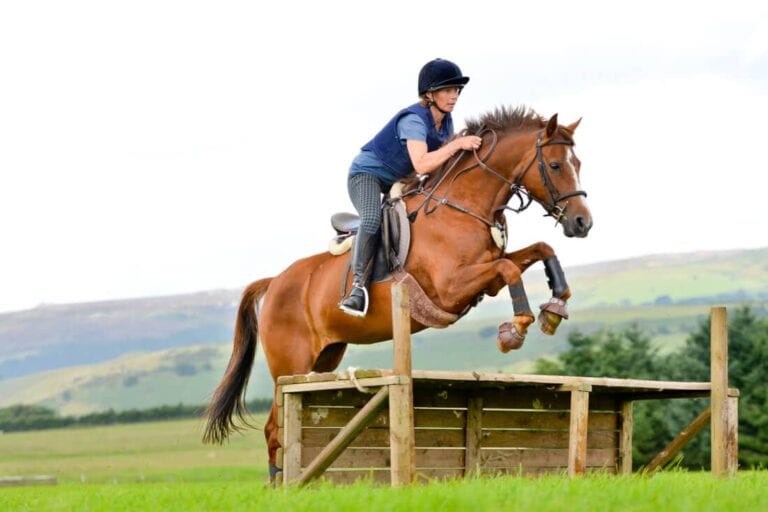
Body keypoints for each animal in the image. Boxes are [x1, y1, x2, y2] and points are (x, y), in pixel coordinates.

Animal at [202, 106, 593, 480]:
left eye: (578, 164)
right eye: (555, 165)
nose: (582, 223)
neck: (463, 206)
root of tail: (274, 281)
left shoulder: (486, 277)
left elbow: (540, 250)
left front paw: (554, 309)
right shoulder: (451, 287)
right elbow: (510, 269)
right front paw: (515, 328)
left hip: (323, 360)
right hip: (289, 365)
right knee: (273, 429)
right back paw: (282, 486)